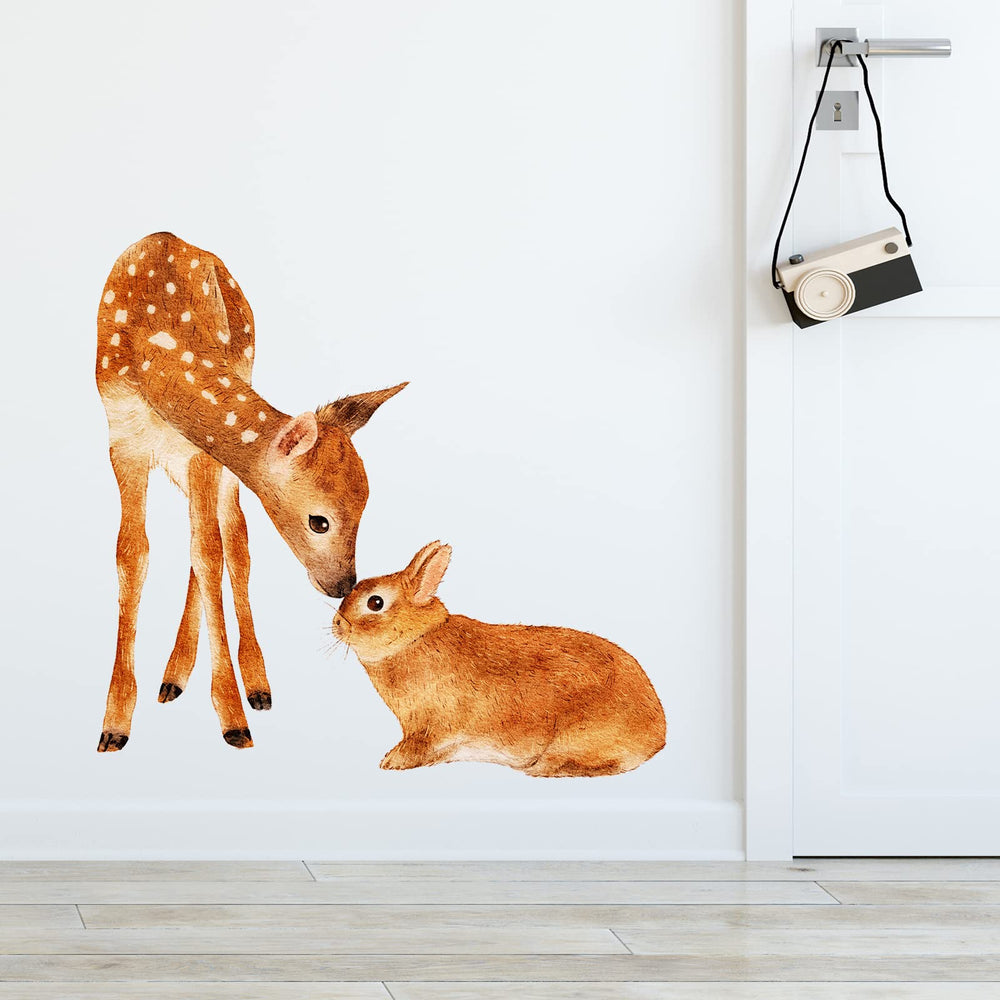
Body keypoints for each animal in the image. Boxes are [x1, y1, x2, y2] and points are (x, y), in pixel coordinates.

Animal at [95, 232, 405, 752]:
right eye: (319, 520)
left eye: (366, 506)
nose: (344, 585)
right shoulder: (122, 440)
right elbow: (132, 555)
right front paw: (114, 725)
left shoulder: (199, 452)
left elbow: (210, 551)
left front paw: (233, 718)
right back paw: (174, 678)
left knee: (231, 538)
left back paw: (246, 683)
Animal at [331, 541, 666, 777]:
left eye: (375, 603)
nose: (338, 624)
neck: (416, 638)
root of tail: (659, 732)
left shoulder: (432, 727)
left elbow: (421, 746)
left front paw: (392, 761)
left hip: (578, 736)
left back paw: (542, 768)